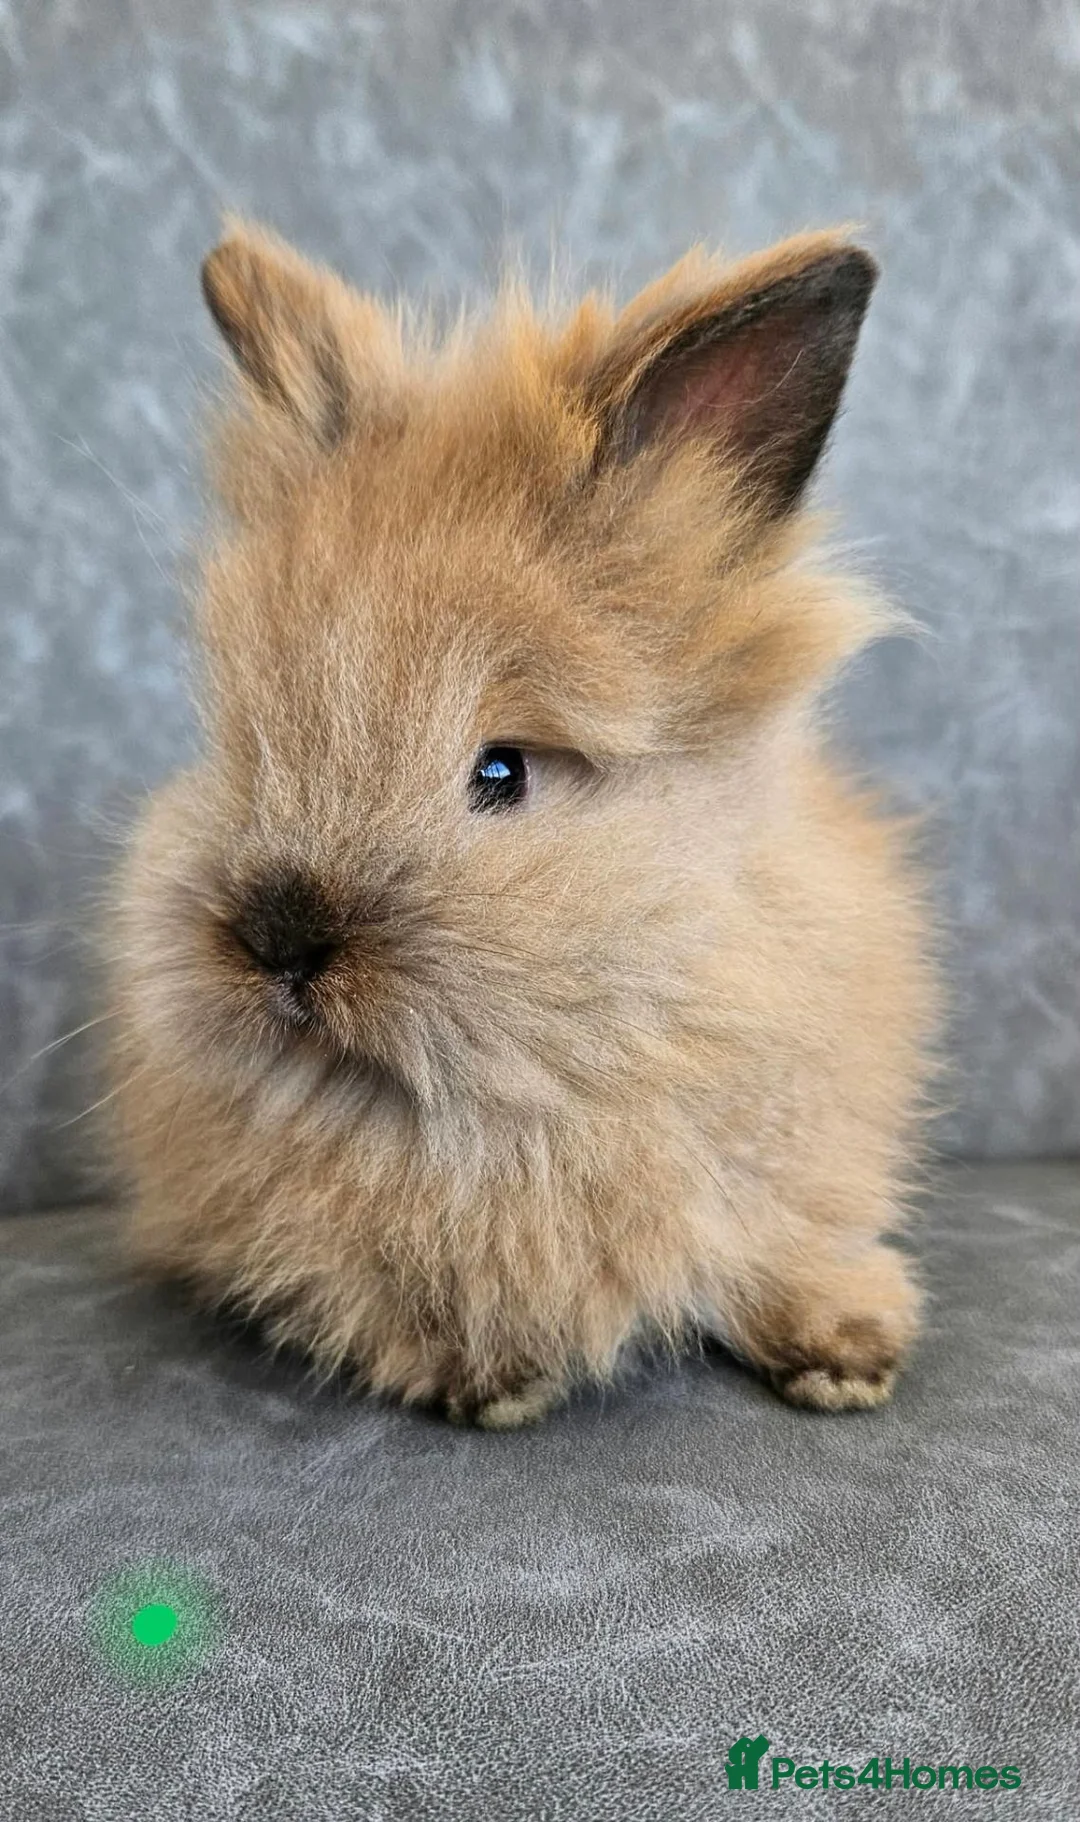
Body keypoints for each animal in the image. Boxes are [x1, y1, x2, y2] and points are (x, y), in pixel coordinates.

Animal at [108, 219, 937, 1429]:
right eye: (241, 740)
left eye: (502, 772)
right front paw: (491, 1381)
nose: (279, 940)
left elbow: (784, 1247)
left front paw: (847, 1360)